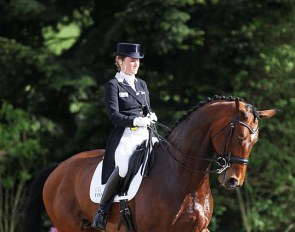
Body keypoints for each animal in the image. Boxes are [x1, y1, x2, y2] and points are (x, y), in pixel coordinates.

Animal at [23, 96, 278, 232]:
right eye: (240, 137)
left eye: (255, 140)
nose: (233, 180)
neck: (184, 178)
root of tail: (58, 169)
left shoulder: (198, 228)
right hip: (70, 226)